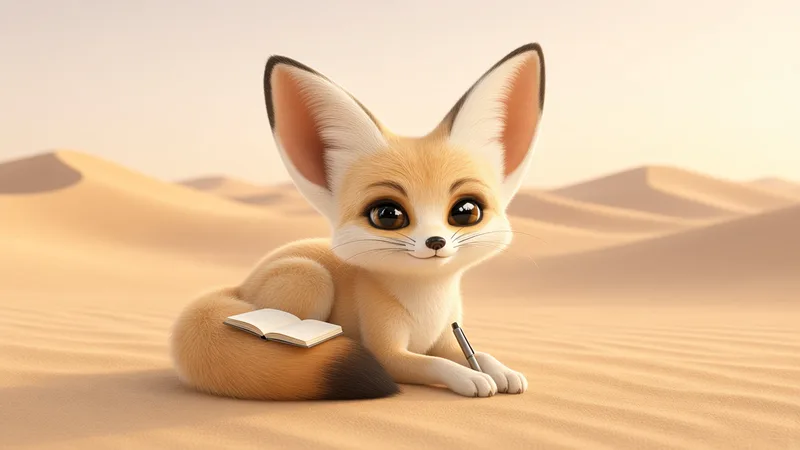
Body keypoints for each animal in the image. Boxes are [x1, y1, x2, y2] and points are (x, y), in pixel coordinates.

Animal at [170, 42, 546, 400]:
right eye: (388, 215)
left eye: (466, 211)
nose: (435, 242)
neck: (427, 303)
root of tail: (241, 284)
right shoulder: (389, 352)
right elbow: (437, 364)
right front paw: (471, 378)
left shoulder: (446, 336)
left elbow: (478, 354)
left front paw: (502, 371)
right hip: (311, 278)